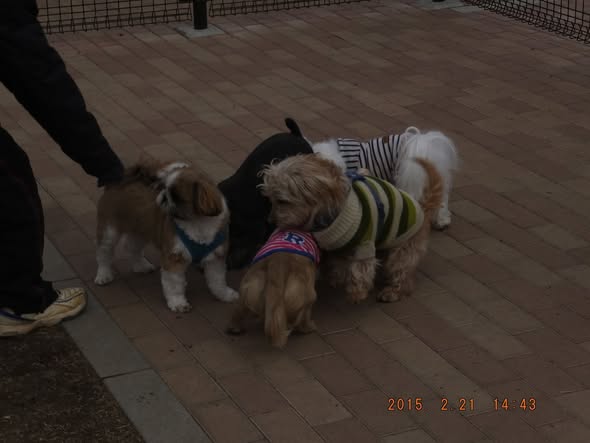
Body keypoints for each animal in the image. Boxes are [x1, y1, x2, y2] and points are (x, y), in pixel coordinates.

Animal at [94, 160, 238, 312]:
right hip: (109, 232)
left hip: (141, 230)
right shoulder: (174, 258)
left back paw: (141, 265)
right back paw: (104, 274)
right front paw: (178, 303)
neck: (197, 223)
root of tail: (121, 180)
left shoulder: (215, 258)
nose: (164, 197)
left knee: (132, 247)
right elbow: (174, 285)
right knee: (104, 253)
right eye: (164, 189)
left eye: (176, 197)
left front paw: (225, 294)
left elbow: (217, 281)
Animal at [260, 154, 443, 303]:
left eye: (282, 201)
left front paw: (357, 292)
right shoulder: (338, 246)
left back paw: (392, 291)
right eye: (270, 199)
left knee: (402, 273)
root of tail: (423, 209)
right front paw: (336, 278)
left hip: (403, 250)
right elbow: (339, 263)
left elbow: (360, 268)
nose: (270, 220)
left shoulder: (365, 243)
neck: (331, 216)